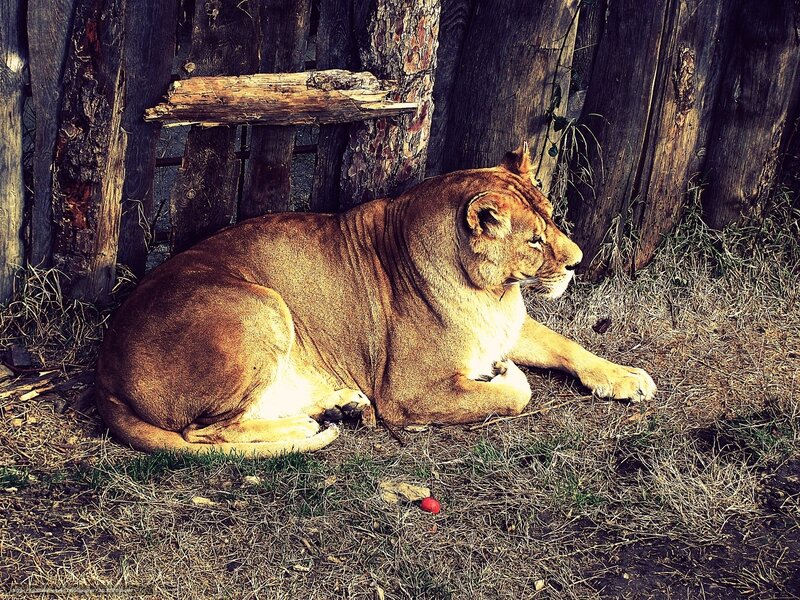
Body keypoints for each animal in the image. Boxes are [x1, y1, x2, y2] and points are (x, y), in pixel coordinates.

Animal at [95, 146, 656, 456]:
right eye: (535, 240)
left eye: (553, 218)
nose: (577, 261)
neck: (492, 293)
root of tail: (105, 370)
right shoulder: (407, 392)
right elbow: (515, 396)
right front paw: (504, 375)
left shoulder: (510, 326)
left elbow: (570, 347)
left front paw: (627, 378)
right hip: (261, 305)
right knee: (202, 431)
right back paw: (305, 424)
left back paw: (342, 405)